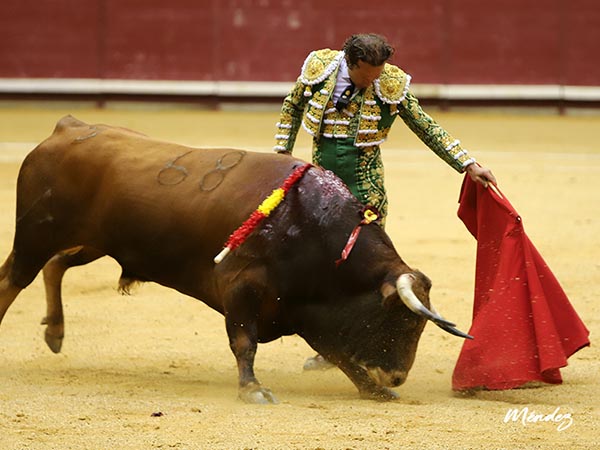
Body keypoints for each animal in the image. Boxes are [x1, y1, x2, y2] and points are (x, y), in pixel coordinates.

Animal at [0, 116, 468, 404]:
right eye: (403, 319)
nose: (397, 377)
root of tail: (69, 128)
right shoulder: (241, 288)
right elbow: (245, 342)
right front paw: (253, 390)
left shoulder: (305, 309)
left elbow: (340, 354)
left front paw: (375, 391)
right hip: (34, 235)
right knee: (13, 279)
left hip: (97, 243)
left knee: (56, 265)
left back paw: (55, 333)